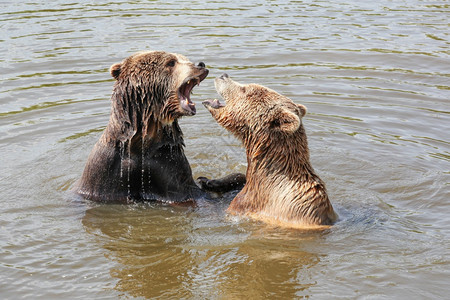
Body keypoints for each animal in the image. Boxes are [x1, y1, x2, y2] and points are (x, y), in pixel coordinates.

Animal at [73, 52, 246, 204]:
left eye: (184, 58)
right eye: (171, 62)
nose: (200, 64)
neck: (142, 140)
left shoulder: (167, 160)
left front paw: (209, 180)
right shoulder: (106, 169)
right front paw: (210, 181)